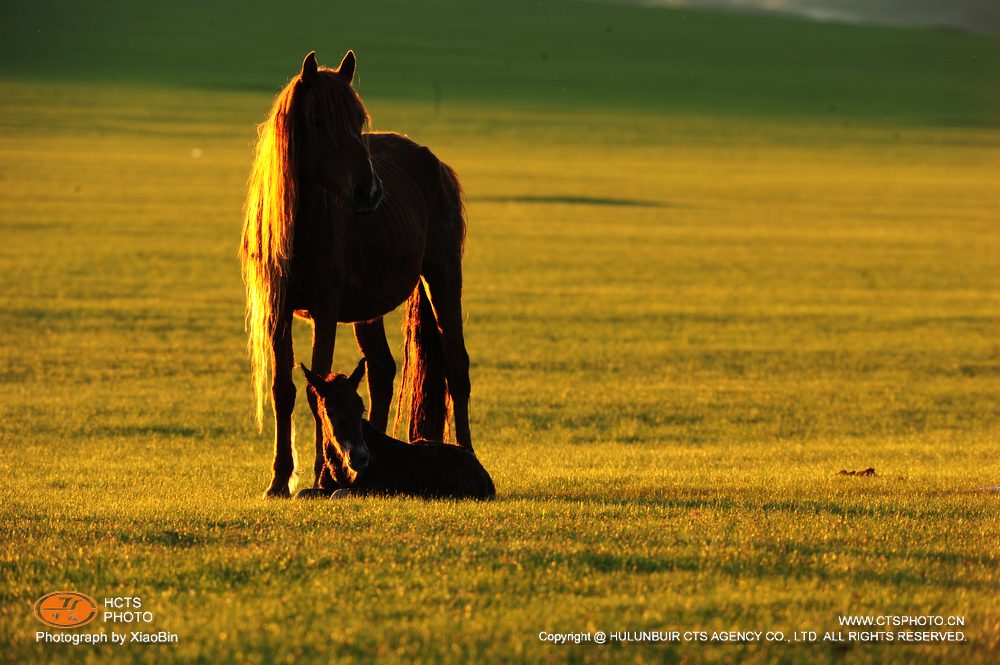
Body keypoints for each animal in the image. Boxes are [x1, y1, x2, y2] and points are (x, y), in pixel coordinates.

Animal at [244, 52, 474, 496]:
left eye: (358, 119)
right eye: (318, 120)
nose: (368, 191)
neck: (302, 224)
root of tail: (434, 163)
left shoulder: (326, 310)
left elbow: (316, 389)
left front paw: (318, 474)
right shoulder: (278, 312)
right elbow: (285, 389)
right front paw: (280, 479)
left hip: (442, 277)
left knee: (457, 367)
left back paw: (468, 454)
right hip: (369, 310)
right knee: (382, 371)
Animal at [294, 358, 498, 498]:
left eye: (361, 408)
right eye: (329, 410)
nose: (360, 457)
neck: (339, 469)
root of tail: (484, 476)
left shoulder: (378, 488)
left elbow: (337, 494)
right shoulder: (323, 488)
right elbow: (301, 493)